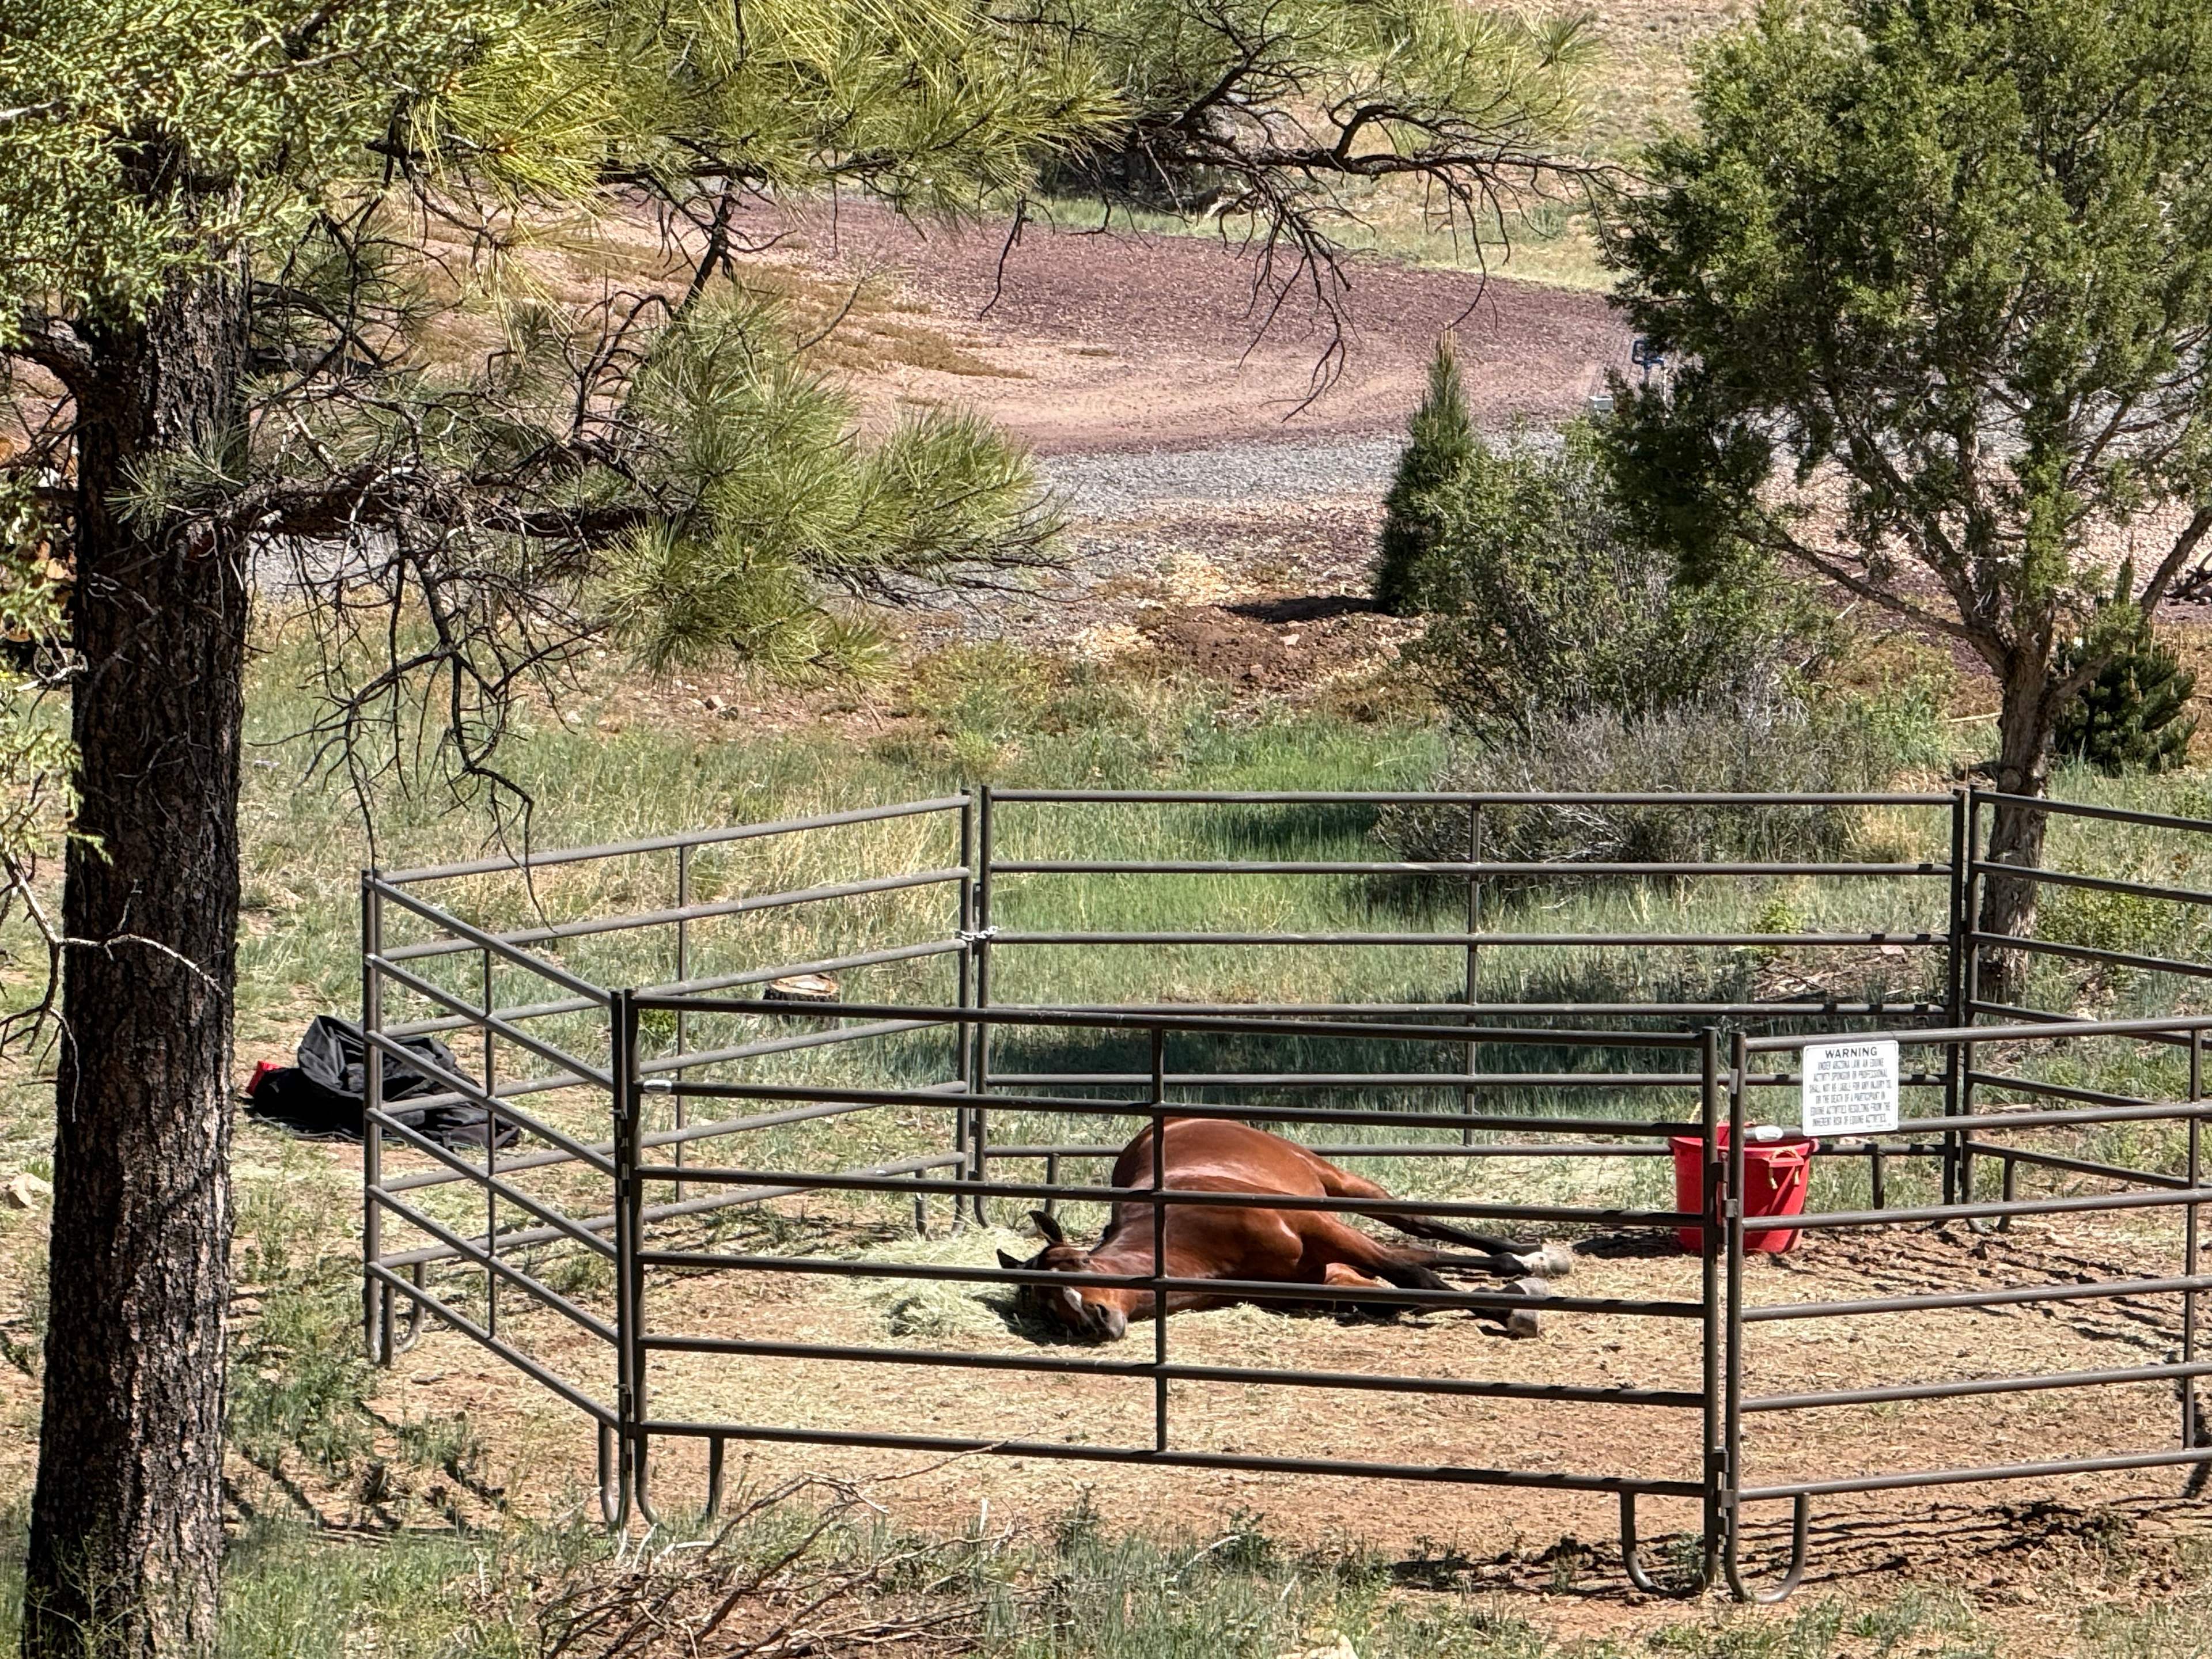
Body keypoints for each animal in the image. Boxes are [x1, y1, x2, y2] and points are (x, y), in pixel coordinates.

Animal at [996, 1119, 1569, 1342]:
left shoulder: (1314, 1225)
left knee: (1413, 1223)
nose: (1095, 1319)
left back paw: (1526, 1253)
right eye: (1047, 1309)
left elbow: (1414, 1278)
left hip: (1336, 1185)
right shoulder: (1318, 1275)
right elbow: (1406, 1282)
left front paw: (1509, 1311)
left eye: (1076, 1263)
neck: (1184, 1235)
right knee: (1417, 1249)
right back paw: (1523, 1268)